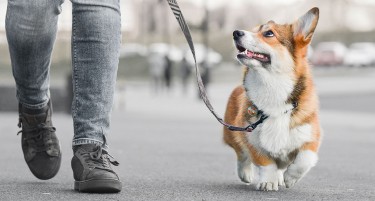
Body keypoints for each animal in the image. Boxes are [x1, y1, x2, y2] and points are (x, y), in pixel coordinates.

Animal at [225, 7, 322, 191]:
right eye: (253, 30)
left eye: (268, 33)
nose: (236, 32)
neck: (272, 86)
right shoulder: (251, 138)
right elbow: (265, 162)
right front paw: (269, 181)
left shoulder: (310, 136)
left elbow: (304, 159)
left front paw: (290, 178)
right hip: (231, 132)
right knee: (241, 154)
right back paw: (246, 173)